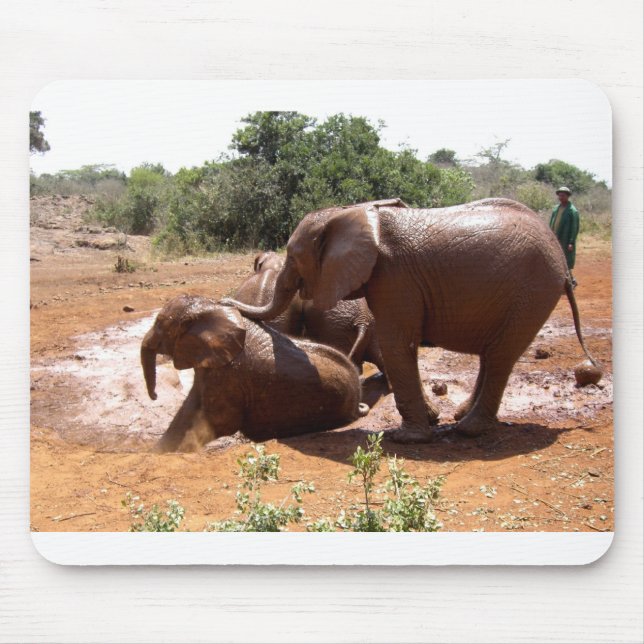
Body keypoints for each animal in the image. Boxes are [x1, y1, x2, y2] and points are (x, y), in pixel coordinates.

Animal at [141, 294, 368, 452]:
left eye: (160, 325)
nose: (155, 395)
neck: (211, 309)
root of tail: (358, 402)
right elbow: (189, 409)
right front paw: (157, 451)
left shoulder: (229, 374)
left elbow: (221, 422)